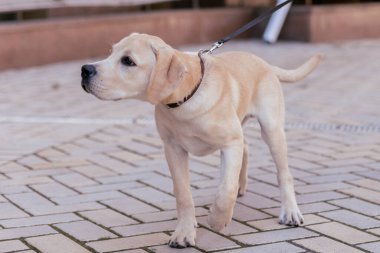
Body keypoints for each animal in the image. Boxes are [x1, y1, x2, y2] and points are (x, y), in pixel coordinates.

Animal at [80, 32, 320, 248]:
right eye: (111, 53)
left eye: (128, 61)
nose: (85, 70)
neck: (185, 99)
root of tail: (265, 64)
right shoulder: (173, 149)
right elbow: (183, 194)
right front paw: (184, 232)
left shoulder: (229, 143)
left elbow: (225, 190)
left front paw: (217, 219)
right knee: (246, 148)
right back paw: (242, 185)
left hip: (272, 130)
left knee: (283, 174)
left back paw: (290, 211)